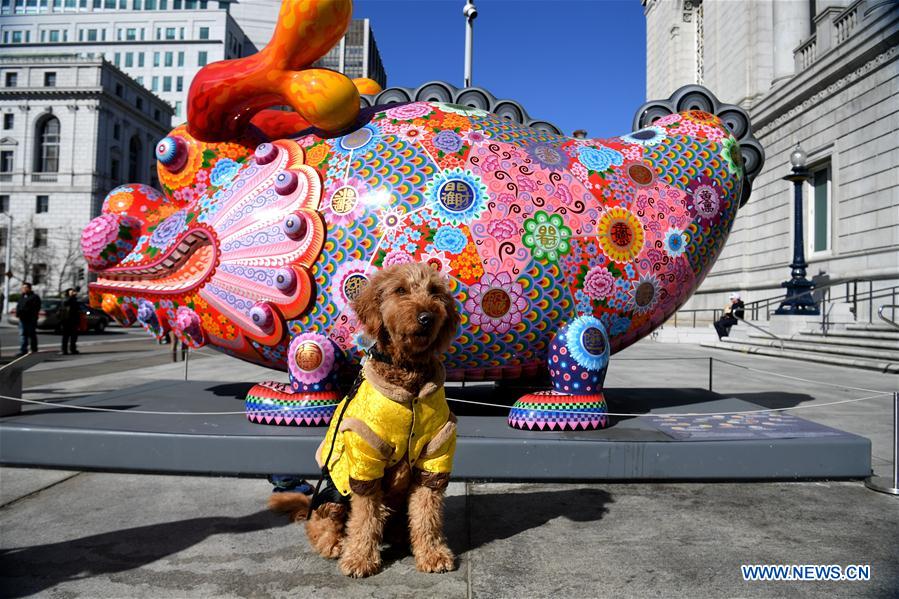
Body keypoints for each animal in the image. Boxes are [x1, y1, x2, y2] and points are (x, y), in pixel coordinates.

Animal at [268, 262, 460, 576]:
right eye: (400, 290)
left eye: (435, 292)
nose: (427, 317)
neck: (408, 376)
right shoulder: (365, 455)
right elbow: (364, 517)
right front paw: (359, 557)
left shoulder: (435, 453)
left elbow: (427, 513)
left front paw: (432, 553)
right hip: (333, 493)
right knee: (320, 524)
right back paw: (334, 544)